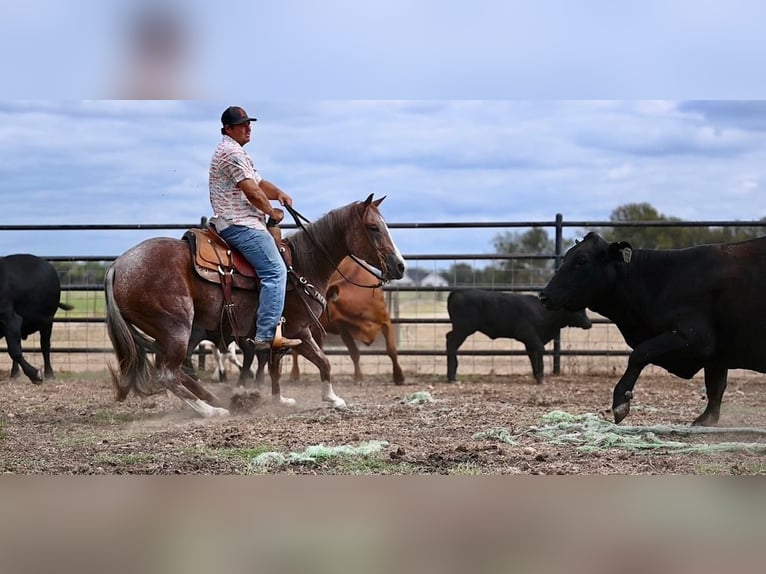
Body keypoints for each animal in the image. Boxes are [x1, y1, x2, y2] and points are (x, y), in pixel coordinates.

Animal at [108, 197, 412, 418]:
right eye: (373, 227)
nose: (400, 266)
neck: (302, 266)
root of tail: (117, 265)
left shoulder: (283, 336)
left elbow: (281, 365)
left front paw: (282, 398)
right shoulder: (298, 329)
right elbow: (321, 361)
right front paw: (332, 397)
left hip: (186, 332)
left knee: (178, 370)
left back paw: (217, 399)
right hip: (177, 328)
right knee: (169, 374)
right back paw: (211, 410)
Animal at [444, 290, 592, 384]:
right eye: (578, 310)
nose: (589, 323)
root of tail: (456, 292)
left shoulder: (529, 342)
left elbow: (533, 356)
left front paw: (537, 376)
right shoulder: (529, 335)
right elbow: (540, 351)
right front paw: (541, 378)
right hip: (463, 329)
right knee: (451, 343)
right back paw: (452, 377)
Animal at [536, 233, 766, 428]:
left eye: (582, 260)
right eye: (566, 258)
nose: (544, 295)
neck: (661, 280)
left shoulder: (696, 338)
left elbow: (640, 354)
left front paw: (620, 402)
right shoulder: (716, 354)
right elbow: (715, 386)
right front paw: (706, 419)